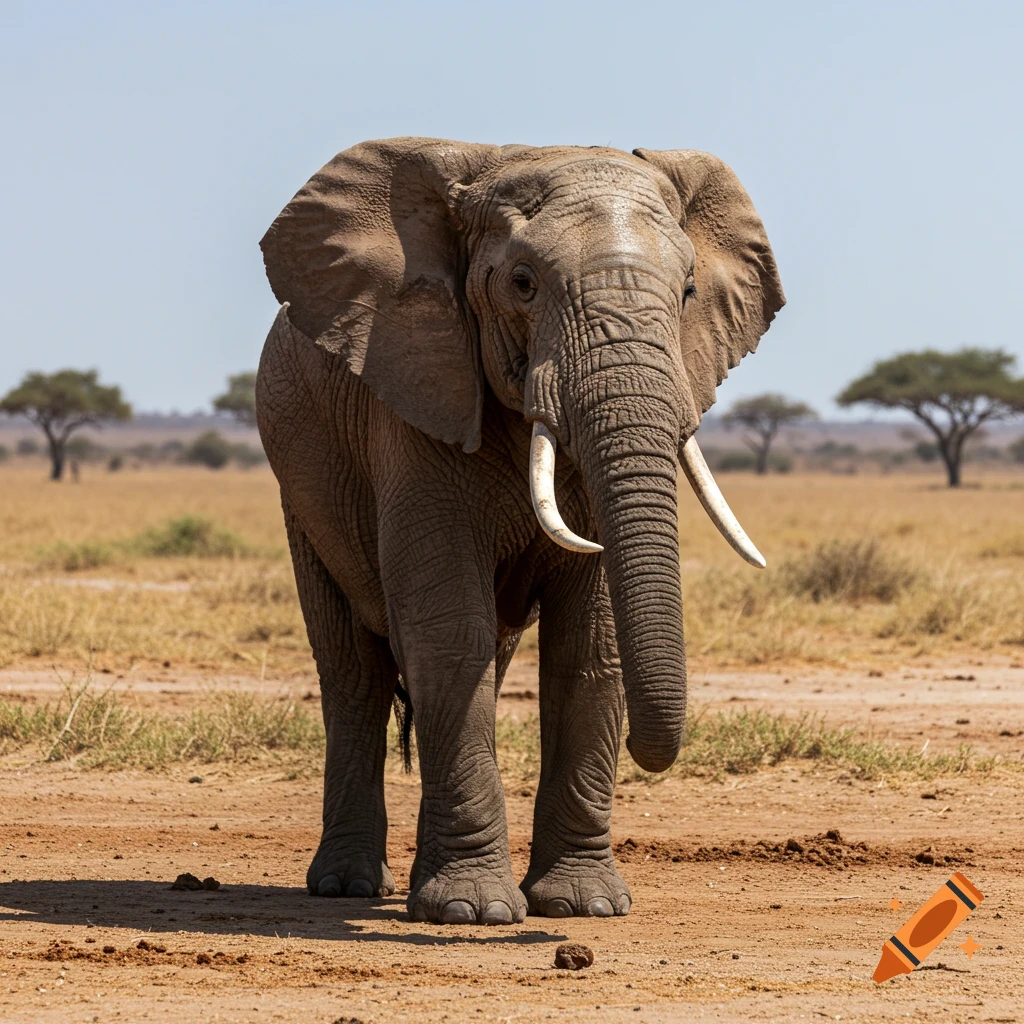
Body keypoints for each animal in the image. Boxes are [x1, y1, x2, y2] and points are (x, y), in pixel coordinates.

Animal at [255, 138, 784, 926]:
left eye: (689, 292)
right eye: (523, 284)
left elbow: (590, 642)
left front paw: (582, 907)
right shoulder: (418, 389)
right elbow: (448, 627)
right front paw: (472, 913)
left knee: (488, 658)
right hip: (301, 485)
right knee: (354, 668)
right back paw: (350, 887)